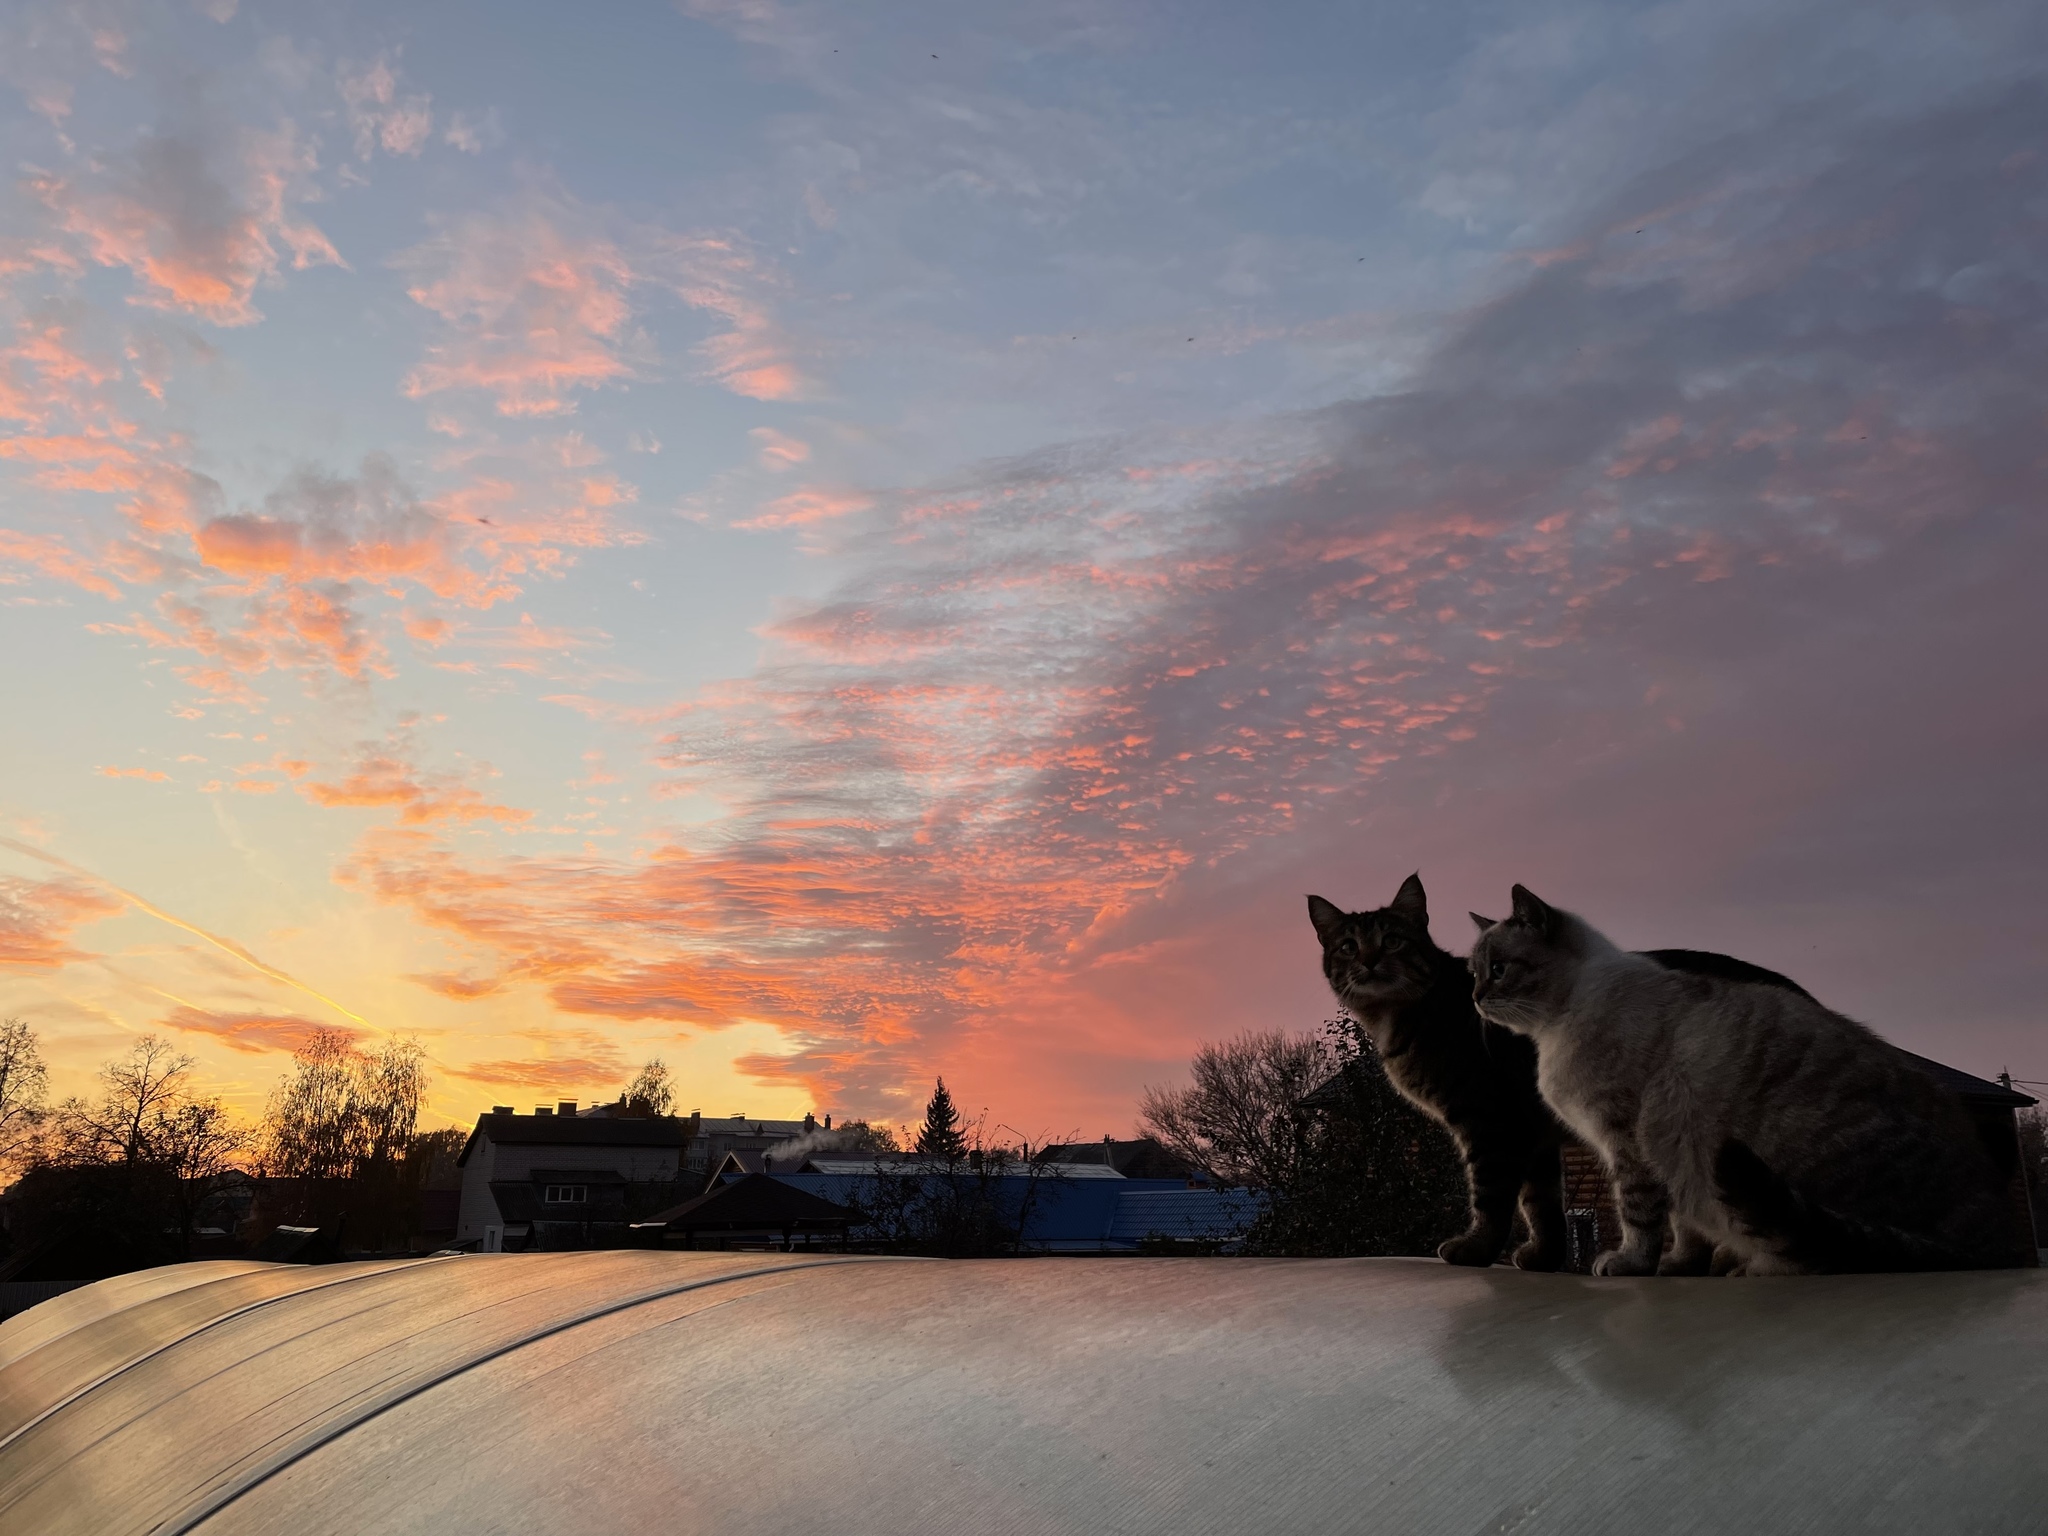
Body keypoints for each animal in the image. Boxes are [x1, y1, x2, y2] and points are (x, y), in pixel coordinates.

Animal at [1310, 876, 1564, 1277]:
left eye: (1392, 940)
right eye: (1348, 947)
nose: (1368, 961)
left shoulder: (1490, 1117)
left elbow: (1491, 1194)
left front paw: (1477, 1248)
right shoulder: (1532, 1131)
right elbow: (1541, 1201)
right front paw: (1546, 1256)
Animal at [1466, 884, 2007, 1277]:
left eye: (1499, 969)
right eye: (1473, 973)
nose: (1475, 998)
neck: (1556, 1023)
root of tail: (1984, 1236)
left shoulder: (1629, 1137)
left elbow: (1638, 1213)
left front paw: (1631, 1264)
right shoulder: (1660, 1152)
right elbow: (1681, 1226)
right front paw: (1675, 1266)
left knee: (1825, 1253)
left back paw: (1751, 1267)